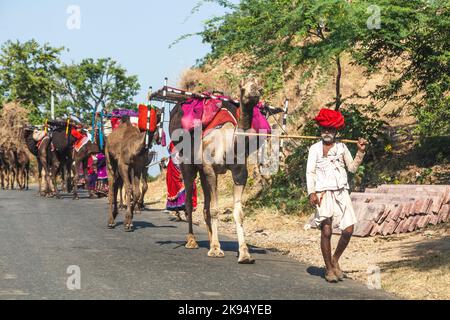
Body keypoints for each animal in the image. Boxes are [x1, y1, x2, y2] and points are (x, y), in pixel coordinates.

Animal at [168, 79, 264, 264]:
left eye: (258, 86)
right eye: (243, 88)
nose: (255, 91)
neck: (229, 144)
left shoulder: (240, 172)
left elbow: (238, 212)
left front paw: (244, 254)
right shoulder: (210, 169)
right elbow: (214, 209)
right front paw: (215, 249)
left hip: (203, 172)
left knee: (205, 204)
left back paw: (211, 238)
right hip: (187, 164)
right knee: (190, 201)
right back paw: (192, 241)